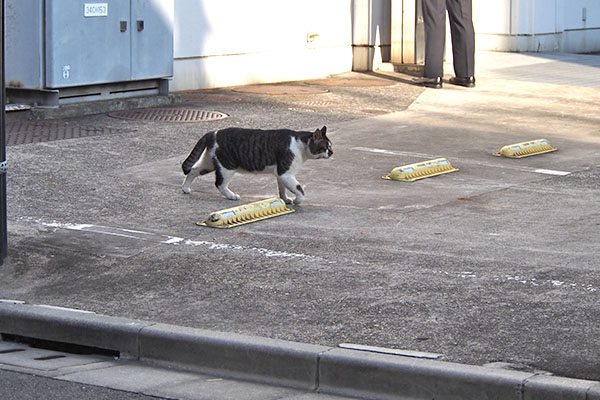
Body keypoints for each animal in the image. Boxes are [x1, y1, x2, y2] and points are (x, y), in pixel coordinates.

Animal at [183, 126, 332, 206]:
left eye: (331, 146)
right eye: (325, 147)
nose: (331, 152)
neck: (300, 145)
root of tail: (213, 132)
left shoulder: (281, 174)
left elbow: (282, 189)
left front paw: (285, 199)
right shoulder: (286, 173)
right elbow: (299, 189)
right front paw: (297, 200)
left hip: (208, 163)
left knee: (192, 170)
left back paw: (186, 189)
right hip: (227, 167)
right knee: (219, 184)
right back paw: (231, 195)